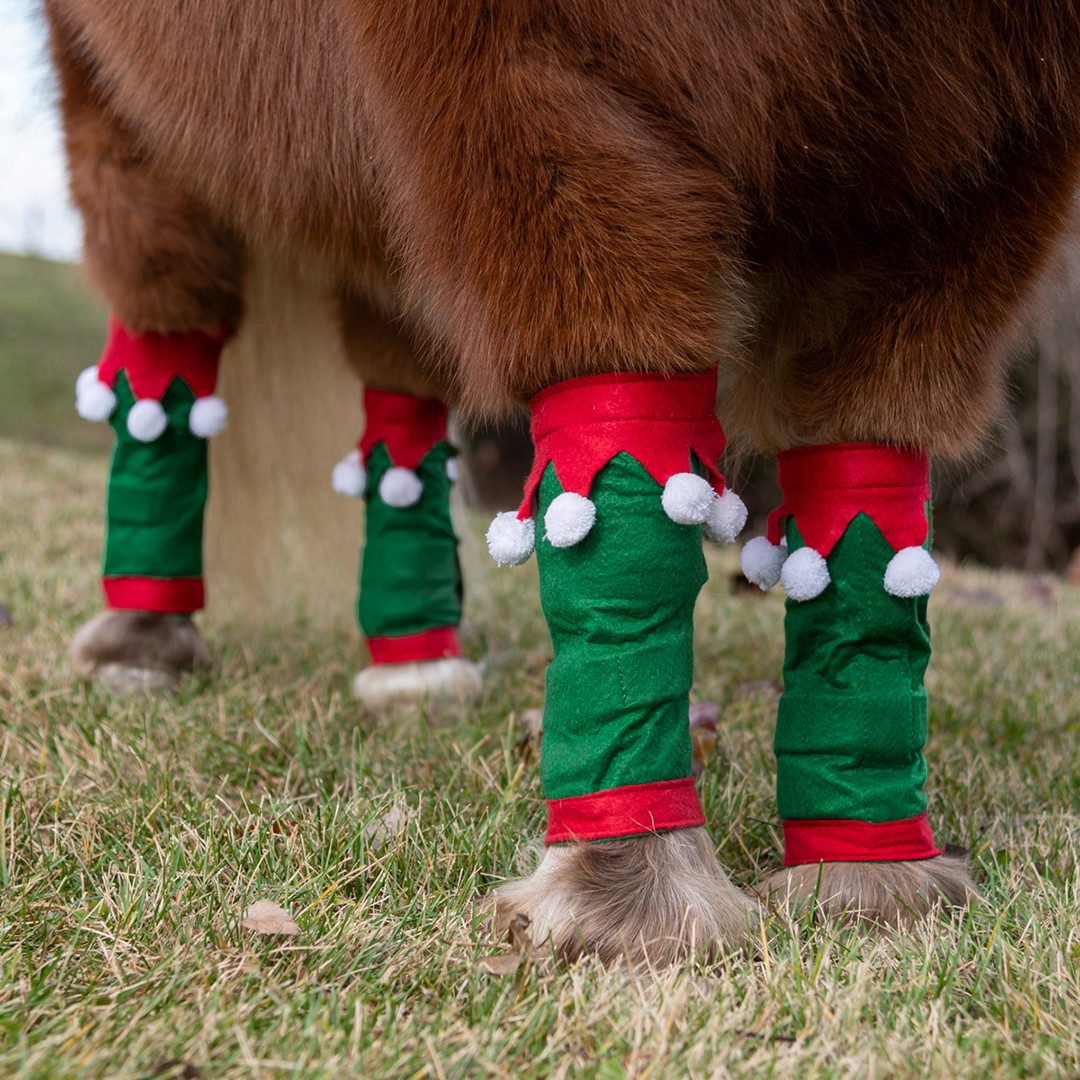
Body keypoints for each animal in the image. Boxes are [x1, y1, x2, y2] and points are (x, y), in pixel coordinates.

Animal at [45, 0, 1080, 963]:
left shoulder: (976, 174)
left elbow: (865, 495)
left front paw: (868, 870)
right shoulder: (525, 87)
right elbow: (619, 468)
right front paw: (628, 896)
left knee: (398, 398)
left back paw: (415, 662)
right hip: (126, 116)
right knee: (163, 332)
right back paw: (142, 634)